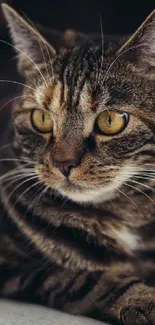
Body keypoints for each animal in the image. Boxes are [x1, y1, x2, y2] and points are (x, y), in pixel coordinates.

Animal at [1, 3, 155, 324]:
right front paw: (144, 300)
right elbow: (87, 279)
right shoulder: (20, 267)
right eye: (41, 118)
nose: (64, 163)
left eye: (111, 121)